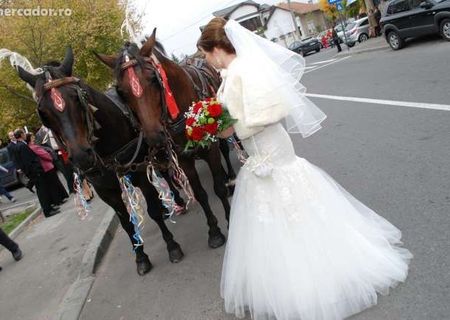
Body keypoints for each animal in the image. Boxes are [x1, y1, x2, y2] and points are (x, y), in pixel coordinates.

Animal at [97, 30, 232, 248]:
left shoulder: (210, 147)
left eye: (153, 78)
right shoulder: (183, 158)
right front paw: (214, 231)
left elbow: (218, 187)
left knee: (226, 152)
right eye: (121, 92)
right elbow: (200, 193)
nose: (154, 137)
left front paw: (229, 218)